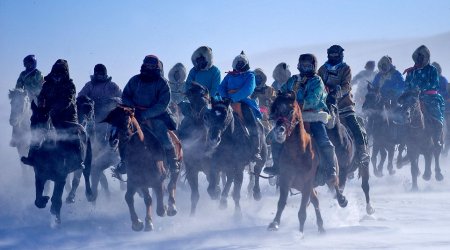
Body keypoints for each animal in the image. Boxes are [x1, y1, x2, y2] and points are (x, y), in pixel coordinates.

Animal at [268, 92, 348, 234]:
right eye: (275, 110)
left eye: (291, 110)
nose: (279, 130)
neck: (297, 153)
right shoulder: (285, 180)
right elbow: (281, 203)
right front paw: (275, 223)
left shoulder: (306, 183)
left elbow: (302, 213)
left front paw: (300, 233)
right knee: (315, 201)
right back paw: (321, 226)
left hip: (329, 176)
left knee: (334, 185)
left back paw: (342, 200)